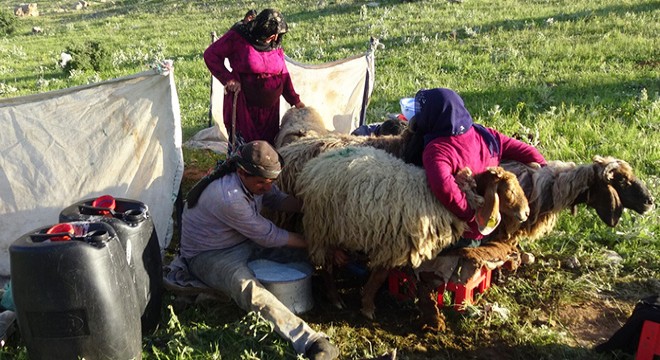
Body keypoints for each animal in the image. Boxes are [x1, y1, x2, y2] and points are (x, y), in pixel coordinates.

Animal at [296, 145, 528, 320]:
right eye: (508, 190)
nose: (526, 213)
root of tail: (315, 165)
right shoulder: (394, 245)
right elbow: (379, 277)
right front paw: (368, 307)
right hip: (322, 226)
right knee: (324, 266)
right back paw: (335, 298)